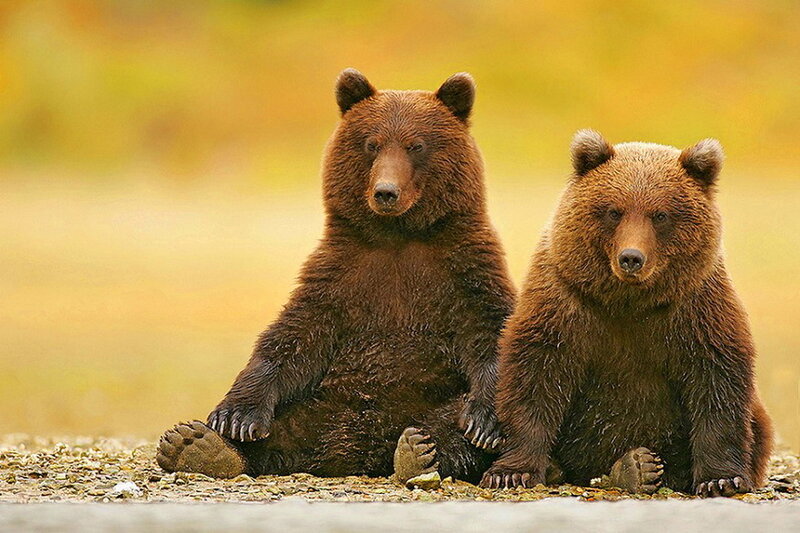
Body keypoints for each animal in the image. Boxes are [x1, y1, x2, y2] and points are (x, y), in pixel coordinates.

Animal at [156, 69, 515, 484]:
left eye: (416, 145)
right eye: (372, 144)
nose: (386, 192)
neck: (398, 237)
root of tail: (354, 451)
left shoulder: (464, 268)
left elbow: (490, 328)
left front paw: (484, 423)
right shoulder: (342, 272)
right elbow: (294, 336)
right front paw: (235, 416)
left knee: (451, 422)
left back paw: (419, 450)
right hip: (317, 403)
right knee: (281, 428)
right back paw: (198, 445)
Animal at [480, 130, 773, 497]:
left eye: (660, 215)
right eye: (614, 211)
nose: (631, 257)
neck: (628, 301)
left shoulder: (693, 307)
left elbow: (715, 380)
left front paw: (721, 479)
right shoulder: (567, 300)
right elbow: (536, 373)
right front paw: (511, 471)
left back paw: (637, 467)